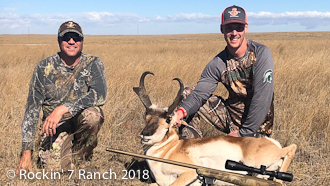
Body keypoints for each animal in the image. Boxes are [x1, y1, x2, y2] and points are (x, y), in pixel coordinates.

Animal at [133, 71, 296, 186]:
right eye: (146, 115)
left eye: (168, 120)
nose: (145, 134)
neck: (170, 149)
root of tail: (268, 141)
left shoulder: (189, 173)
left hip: (255, 161)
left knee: (291, 148)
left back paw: (280, 180)